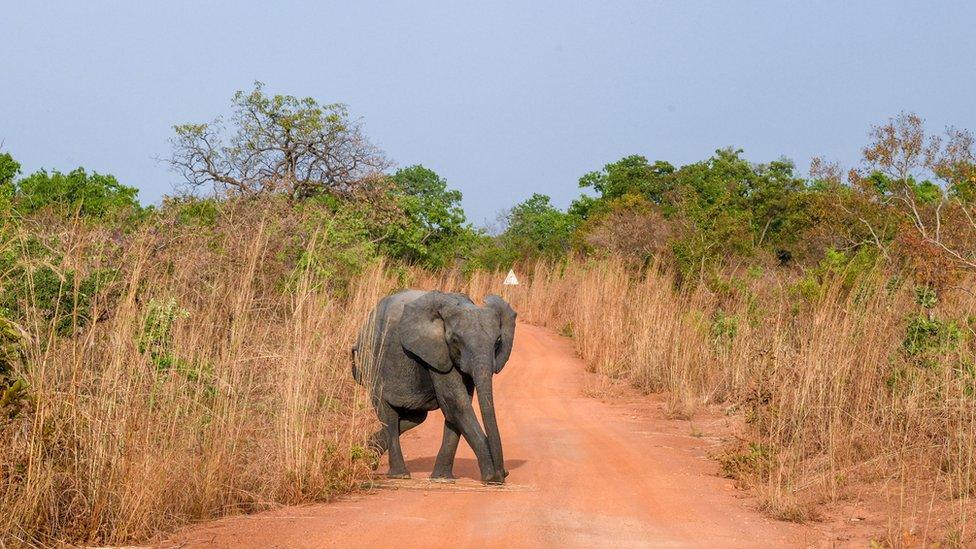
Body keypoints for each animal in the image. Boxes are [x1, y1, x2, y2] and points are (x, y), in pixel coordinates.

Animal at [350, 288, 520, 482]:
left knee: (414, 418)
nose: (504, 473)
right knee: (389, 415)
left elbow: (457, 408)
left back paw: (366, 454)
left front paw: (442, 478)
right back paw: (399, 474)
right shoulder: (437, 352)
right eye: (455, 340)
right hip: (372, 362)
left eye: (498, 342)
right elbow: (457, 404)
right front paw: (492, 477)